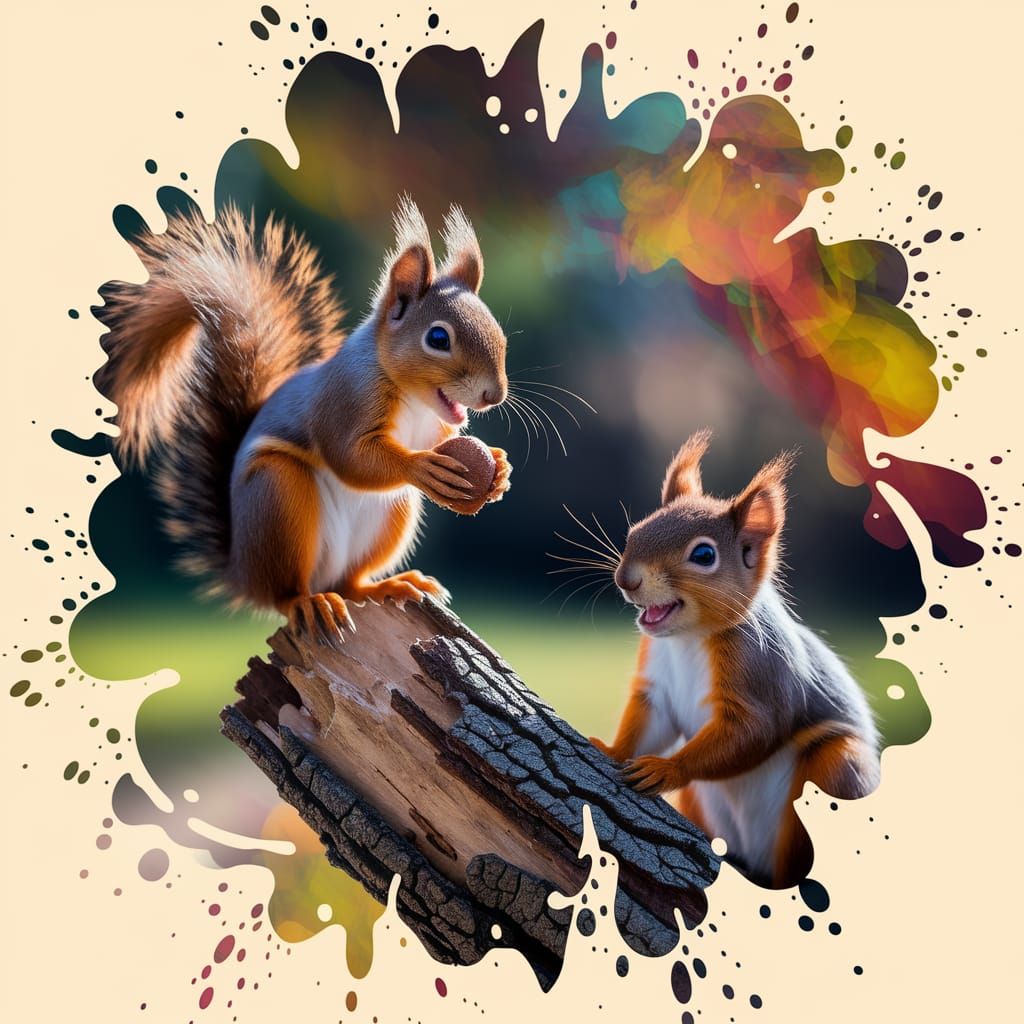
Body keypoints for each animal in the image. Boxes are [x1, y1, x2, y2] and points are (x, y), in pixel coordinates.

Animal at [94, 198, 511, 642]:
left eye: (499, 334)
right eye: (437, 338)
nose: (494, 394)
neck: (414, 400)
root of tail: (242, 573)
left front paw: (499, 468)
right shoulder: (344, 401)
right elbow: (350, 457)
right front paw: (420, 466)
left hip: (390, 514)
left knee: (349, 582)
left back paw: (388, 584)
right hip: (277, 499)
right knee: (285, 592)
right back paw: (307, 603)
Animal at [591, 430, 880, 888]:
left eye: (704, 556)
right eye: (635, 531)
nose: (626, 579)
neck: (688, 638)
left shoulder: (763, 674)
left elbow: (754, 731)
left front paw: (668, 770)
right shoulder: (657, 685)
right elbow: (650, 724)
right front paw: (613, 750)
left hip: (838, 769)